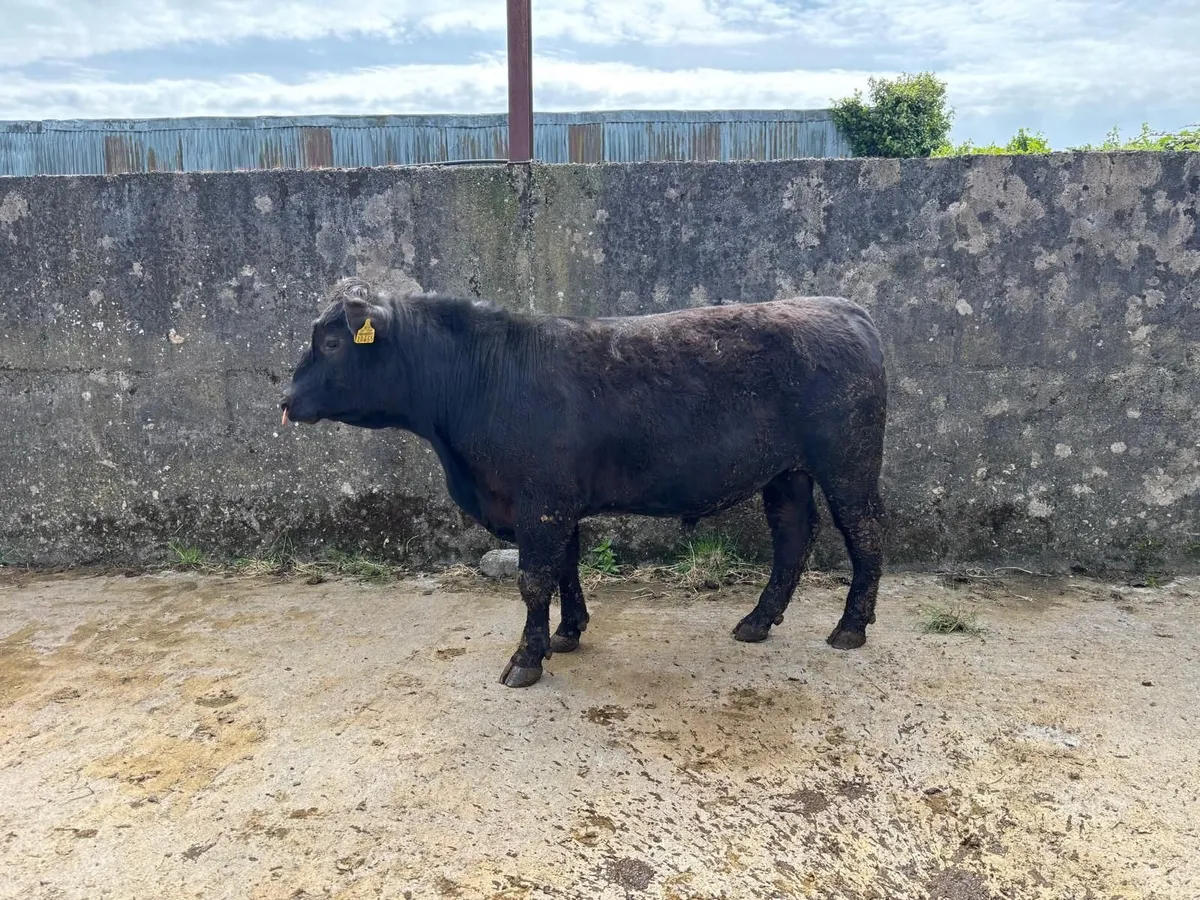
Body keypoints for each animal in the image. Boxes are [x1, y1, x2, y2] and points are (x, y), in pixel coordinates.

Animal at [281, 276, 888, 689]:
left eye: (331, 343)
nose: (286, 400)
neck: (481, 379)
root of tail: (841, 306)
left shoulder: (540, 501)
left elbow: (533, 579)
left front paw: (525, 659)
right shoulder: (557, 503)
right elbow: (565, 568)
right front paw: (567, 633)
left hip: (849, 465)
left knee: (865, 534)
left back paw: (850, 628)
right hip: (786, 473)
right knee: (792, 535)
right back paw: (758, 621)